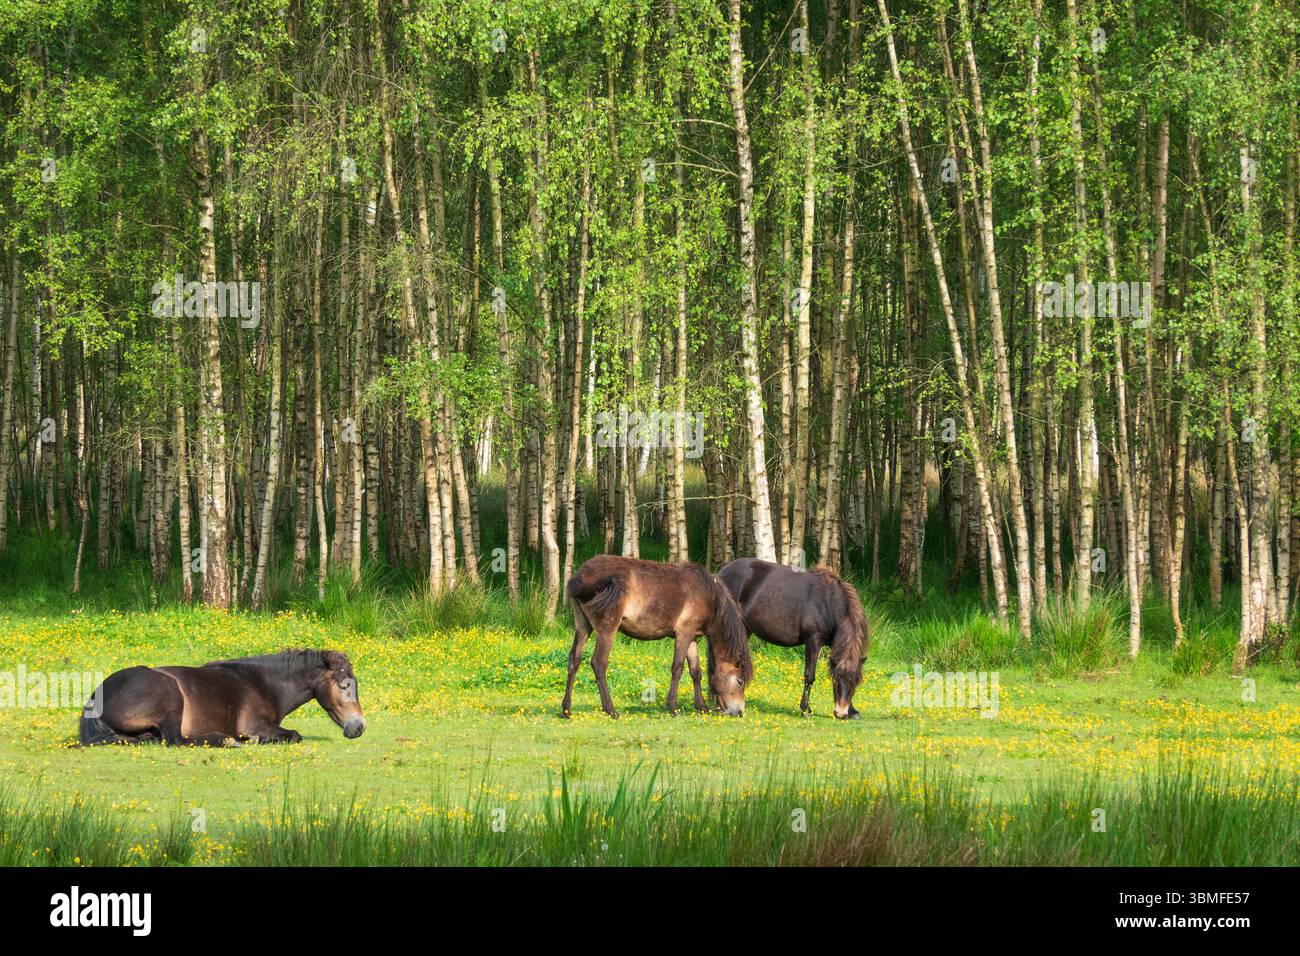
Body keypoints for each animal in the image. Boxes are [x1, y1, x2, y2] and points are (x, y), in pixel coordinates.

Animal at [79, 649, 366, 746]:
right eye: (344, 686)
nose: (359, 727)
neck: (263, 684)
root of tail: (96, 696)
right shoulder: (255, 724)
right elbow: (294, 734)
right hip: (171, 698)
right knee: (175, 740)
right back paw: (226, 740)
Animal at [562, 555, 753, 718]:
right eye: (740, 681)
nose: (739, 712)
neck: (709, 596)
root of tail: (580, 579)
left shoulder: (692, 637)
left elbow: (695, 672)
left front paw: (702, 707)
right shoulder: (683, 633)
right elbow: (678, 668)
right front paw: (673, 707)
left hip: (583, 626)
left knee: (574, 660)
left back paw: (566, 709)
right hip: (607, 628)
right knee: (599, 663)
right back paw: (611, 709)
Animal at [717, 558, 869, 719]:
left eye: (856, 683)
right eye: (835, 680)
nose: (841, 713)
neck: (828, 603)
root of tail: (722, 572)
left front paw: (853, 711)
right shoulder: (813, 641)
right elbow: (809, 676)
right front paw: (805, 709)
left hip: (743, 630)